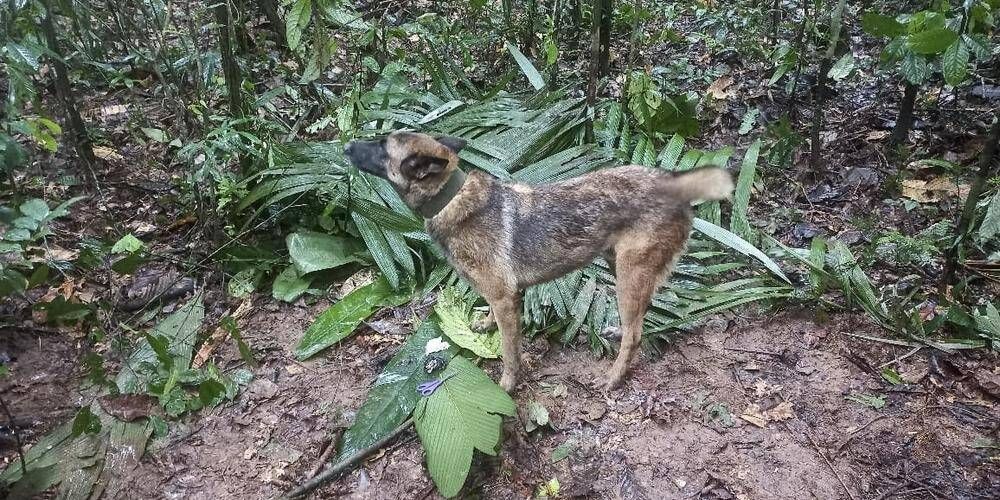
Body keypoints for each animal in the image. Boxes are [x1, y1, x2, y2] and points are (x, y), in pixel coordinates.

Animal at [346, 131, 736, 392]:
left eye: (381, 146)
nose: (346, 145)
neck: (451, 198)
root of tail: (673, 183)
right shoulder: (501, 297)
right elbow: (493, 321)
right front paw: (485, 325)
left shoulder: (506, 299)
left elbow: (509, 351)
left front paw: (507, 384)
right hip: (619, 266)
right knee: (640, 317)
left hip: (629, 274)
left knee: (636, 334)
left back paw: (613, 377)